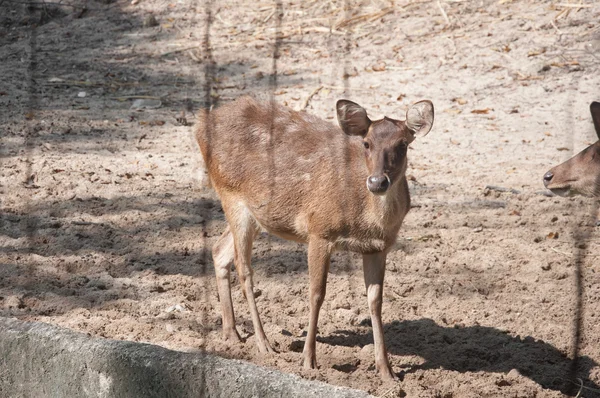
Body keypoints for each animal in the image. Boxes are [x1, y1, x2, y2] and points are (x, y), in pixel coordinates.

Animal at [197, 96, 436, 380]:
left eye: (403, 144)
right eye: (367, 143)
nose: (377, 182)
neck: (369, 220)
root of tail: (201, 124)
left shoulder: (379, 247)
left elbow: (375, 301)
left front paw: (386, 371)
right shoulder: (319, 230)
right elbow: (316, 294)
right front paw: (308, 361)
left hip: (256, 213)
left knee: (219, 250)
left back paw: (231, 334)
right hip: (232, 197)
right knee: (244, 270)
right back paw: (264, 343)